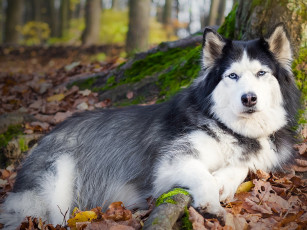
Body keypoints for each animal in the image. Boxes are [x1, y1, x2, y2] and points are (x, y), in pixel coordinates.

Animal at [0, 23, 300, 228]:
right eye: (233, 76)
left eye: (261, 73)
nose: (249, 98)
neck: (231, 129)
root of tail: (45, 136)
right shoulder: (170, 163)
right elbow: (201, 174)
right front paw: (212, 201)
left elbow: (244, 166)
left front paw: (223, 181)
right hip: (54, 183)